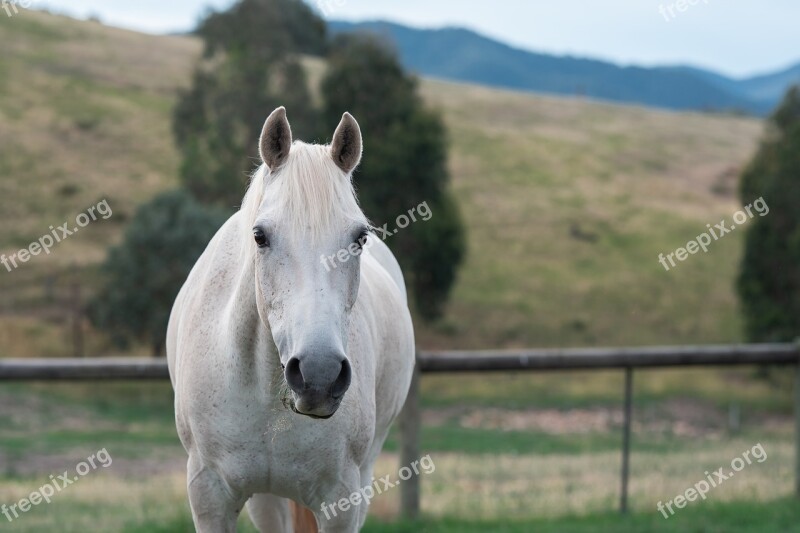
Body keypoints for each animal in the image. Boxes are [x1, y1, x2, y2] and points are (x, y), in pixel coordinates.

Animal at [169, 106, 418, 528]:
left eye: (360, 238)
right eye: (260, 236)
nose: (319, 375)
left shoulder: (341, 500)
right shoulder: (209, 493)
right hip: (267, 501)